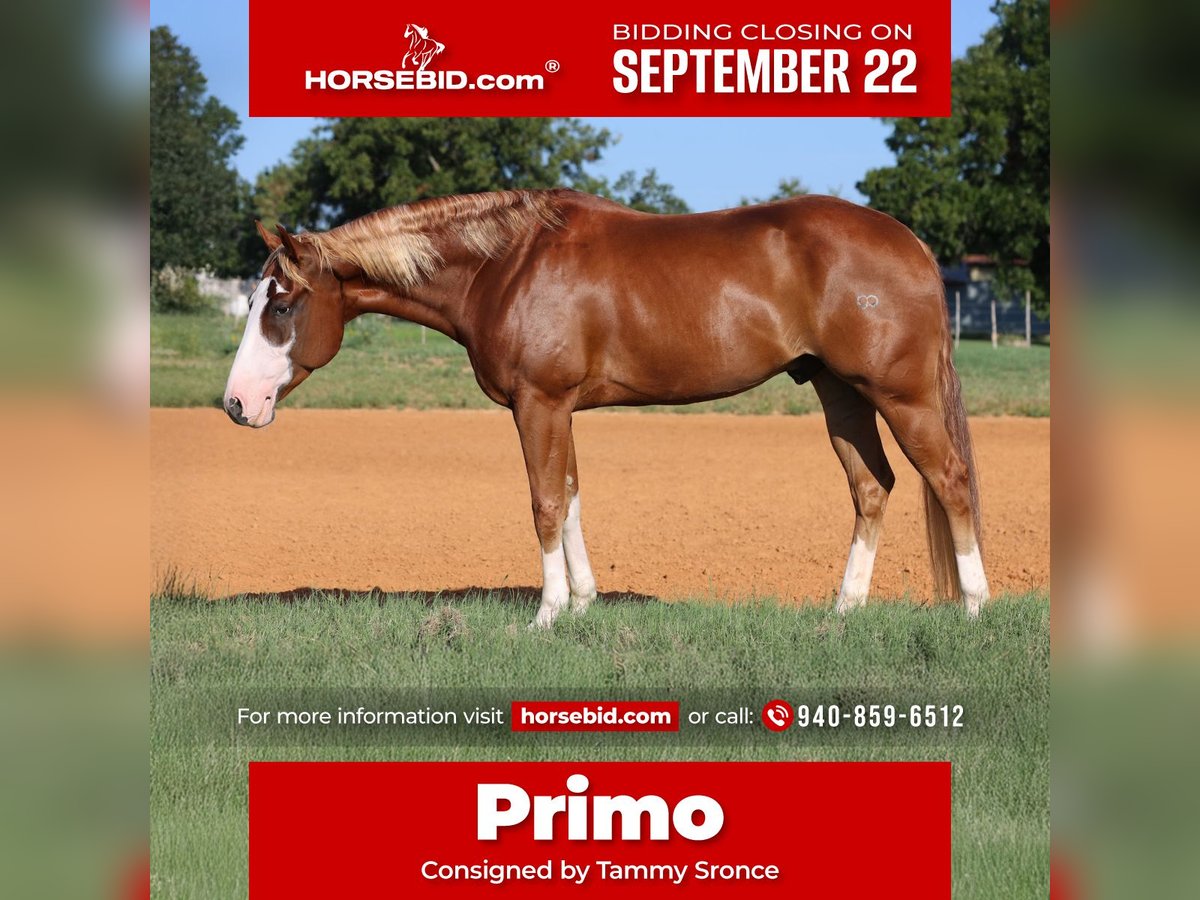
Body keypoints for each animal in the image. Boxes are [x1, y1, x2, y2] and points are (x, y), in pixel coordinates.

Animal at [224, 189, 989, 627]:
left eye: (283, 304)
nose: (236, 403)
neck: (505, 265)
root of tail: (912, 244)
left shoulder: (538, 403)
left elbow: (544, 502)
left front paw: (548, 613)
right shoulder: (555, 408)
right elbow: (569, 495)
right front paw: (584, 601)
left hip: (900, 395)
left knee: (950, 481)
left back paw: (976, 608)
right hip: (838, 391)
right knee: (872, 487)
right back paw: (844, 609)